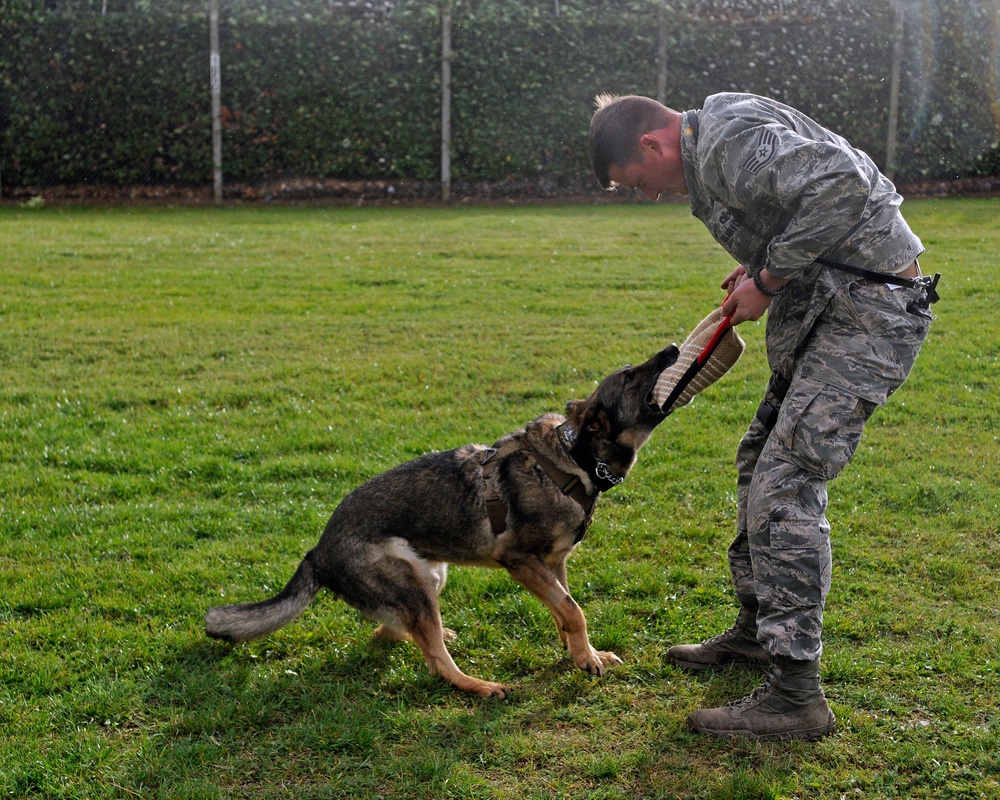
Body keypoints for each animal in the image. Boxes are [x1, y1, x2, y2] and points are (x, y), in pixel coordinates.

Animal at [208, 344, 684, 700]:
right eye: (630, 375)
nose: (672, 348)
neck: (577, 460)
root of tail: (317, 551)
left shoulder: (554, 564)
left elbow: (564, 610)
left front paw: (583, 654)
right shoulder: (520, 559)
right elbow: (573, 609)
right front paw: (586, 658)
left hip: (432, 576)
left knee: (393, 633)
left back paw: (439, 636)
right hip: (415, 585)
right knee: (433, 660)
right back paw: (479, 685)